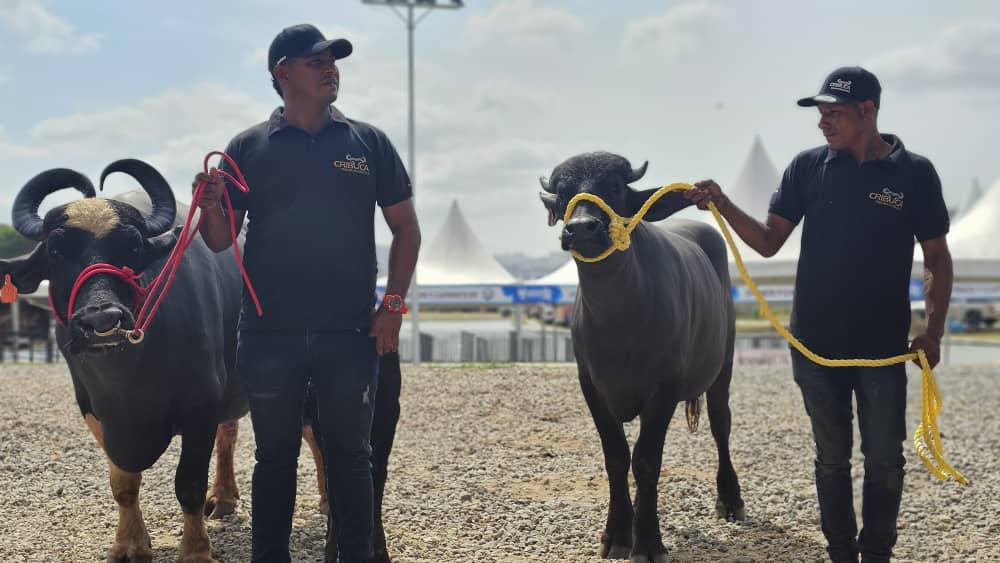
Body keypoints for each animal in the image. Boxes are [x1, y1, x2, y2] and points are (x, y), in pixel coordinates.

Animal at [3, 161, 402, 560]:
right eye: (56, 252)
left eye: (132, 246)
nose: (102, 320)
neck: (130, 380)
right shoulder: (95, 411)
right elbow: (123, 483)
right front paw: (130, 543)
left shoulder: (200, 406)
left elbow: (189, 484)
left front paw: (195, 549)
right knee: (238, 434)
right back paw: (225, 497)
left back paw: (324, 502)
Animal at [540, 152, 744, 560]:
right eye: (564, 193)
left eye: (616, 187)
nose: (581, 228)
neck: (618, 319)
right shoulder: (591, 385)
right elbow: (617, 456)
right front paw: (619, 533)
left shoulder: (663, 388)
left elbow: (647, 461)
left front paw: (648, 542)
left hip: (723, 366)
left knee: (721, 424)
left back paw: (730, 500)